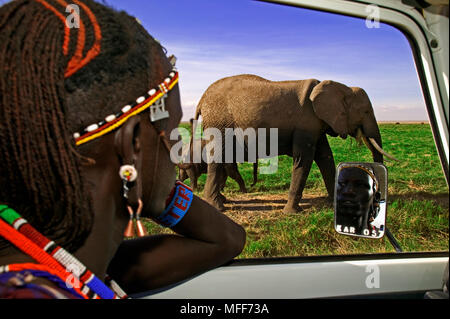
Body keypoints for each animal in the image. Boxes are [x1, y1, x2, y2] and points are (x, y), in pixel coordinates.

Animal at [195, 75, 396, 214]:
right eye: (366, 111)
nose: (379, 201)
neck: (341, 86)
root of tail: (202, 99)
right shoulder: (306, 123)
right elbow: (304, 159)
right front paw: (291, 213)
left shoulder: (316, 125)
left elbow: (325, 158)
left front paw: (336, 204)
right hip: (220, 124)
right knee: (218, 157)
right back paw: (217, 206)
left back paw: (222, 200)